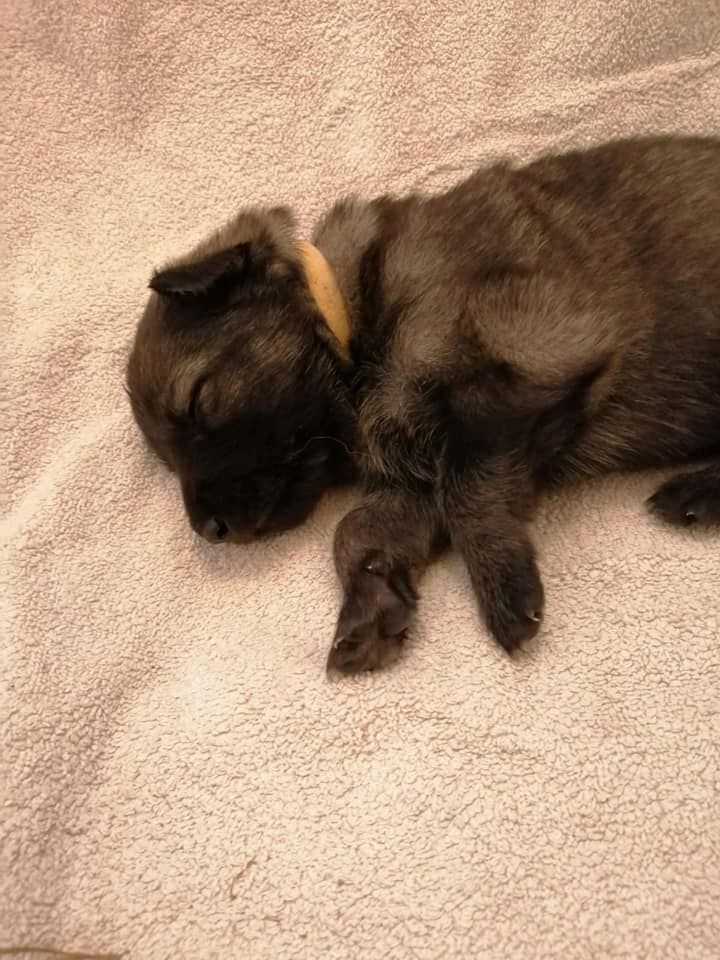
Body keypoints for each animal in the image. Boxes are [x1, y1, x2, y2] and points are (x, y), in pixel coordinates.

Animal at [127, 136, 720, 674]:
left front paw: (502, 583)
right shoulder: (412, 472)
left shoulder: (535, 360)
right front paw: (372, 601)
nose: (210, 531)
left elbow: (468, 490)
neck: (355, 316)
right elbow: (357, 530)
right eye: (167, 460)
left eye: (198, 401)